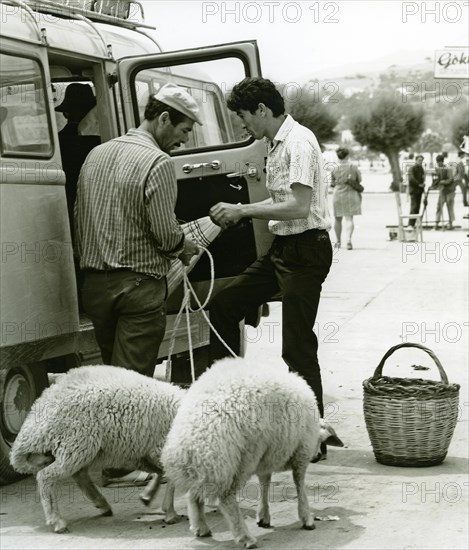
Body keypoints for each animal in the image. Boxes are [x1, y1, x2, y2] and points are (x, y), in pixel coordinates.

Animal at [10, 366, 184, 536]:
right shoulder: (163, 449)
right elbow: (170, 478)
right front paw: (169, 512)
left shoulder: (151, 452)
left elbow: (163, 474)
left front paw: (149, 496)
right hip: (77, 443)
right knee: (46, 476)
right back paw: (57, 521)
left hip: (82, 449)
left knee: (79, 475)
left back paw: (102, 504)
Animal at [162, 358, 344, 550]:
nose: (317, 456)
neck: (314, 430)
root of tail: (194, 441)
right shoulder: (300, 452)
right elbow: (299, 483)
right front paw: (306, 517)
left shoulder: (267, 455)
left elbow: (265, 482)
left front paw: (263, 516)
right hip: (242, 460)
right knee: (226, 499)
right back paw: (244, 537)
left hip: (214, 467)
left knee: (194, 495)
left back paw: (201, 527)